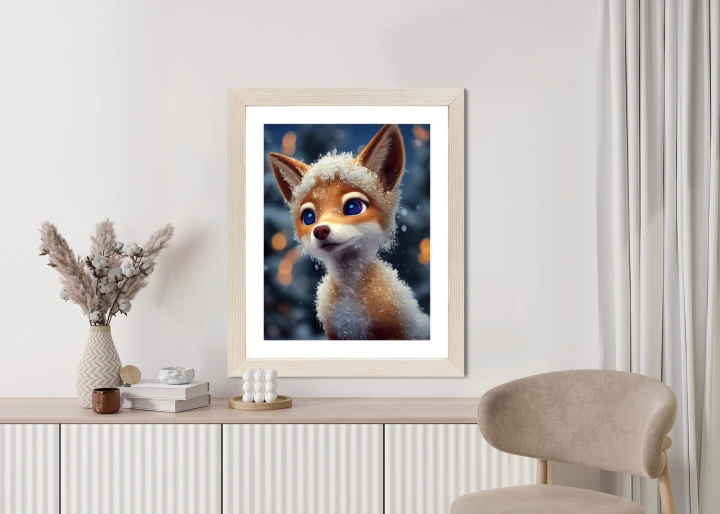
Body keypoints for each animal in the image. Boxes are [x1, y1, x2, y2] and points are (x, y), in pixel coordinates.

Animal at [268, 124, 431, 340]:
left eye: (353, 207)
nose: (320, 231)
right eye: (308, 217)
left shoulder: (391, 329)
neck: (351, 298)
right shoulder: (335, 332)